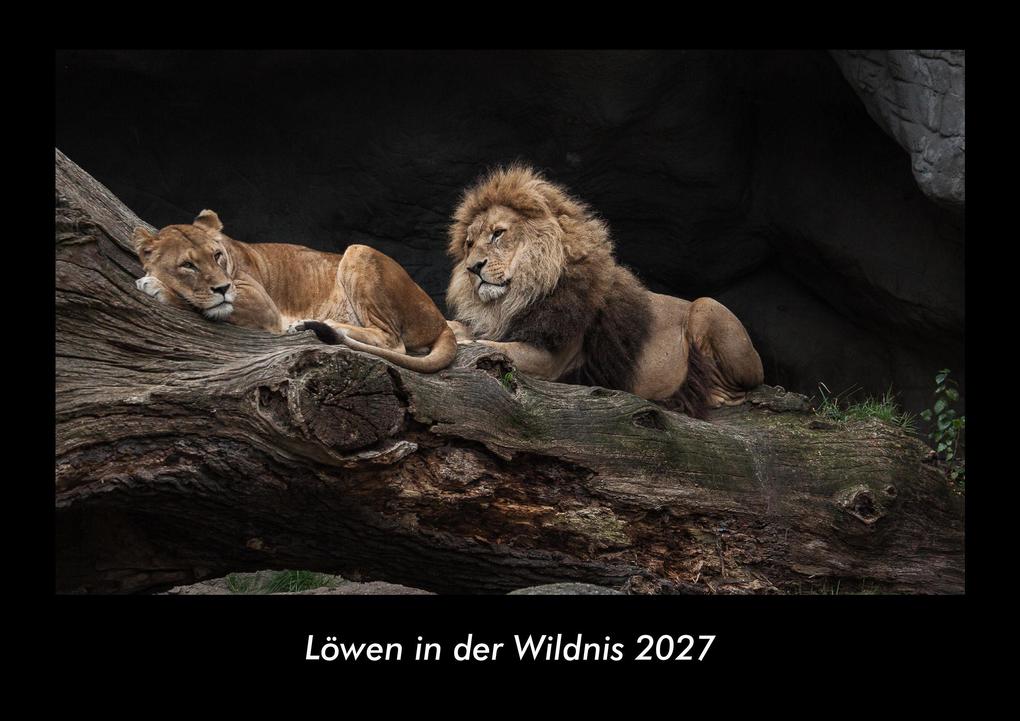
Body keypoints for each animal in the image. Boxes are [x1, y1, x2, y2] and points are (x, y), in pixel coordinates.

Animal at [133, 210, 458, 373]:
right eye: (188, 265)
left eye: (216, 256)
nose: (223, 287)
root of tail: (441, 320)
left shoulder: (263, 305)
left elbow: (202, 302)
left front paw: (155, 285)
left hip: (359, 250)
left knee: (392, 341)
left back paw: (314, 324)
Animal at [446, 165, 764, 418]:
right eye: (469, 244)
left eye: (498, 233)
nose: (473, 268)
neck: (515, 298)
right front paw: (455, 329)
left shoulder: (551, 360)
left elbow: (495, 347)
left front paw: (466, 341)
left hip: (705, 306)